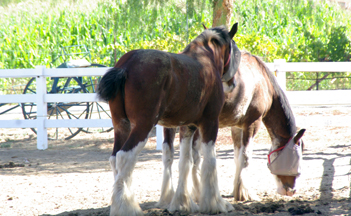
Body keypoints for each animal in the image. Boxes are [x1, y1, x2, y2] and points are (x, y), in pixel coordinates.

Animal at [97, 22, 243, 215]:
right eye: (234, 51)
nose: (233, 83)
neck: (205, 60)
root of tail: (127, 65)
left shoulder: (187, 127)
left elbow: (184, 162)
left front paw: (182, 203)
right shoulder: (210, 123)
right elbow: (210, 161)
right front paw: (215, 203)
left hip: (121, 126)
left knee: (115, 159)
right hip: (142, 126)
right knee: (124, 157)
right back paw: (126, 207)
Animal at [158, 51, 306, 206]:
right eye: (295, 158)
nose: (291, 190)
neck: (262, 81)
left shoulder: (236, 127)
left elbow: (237, 157)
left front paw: (237, 189)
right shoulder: (252, 124)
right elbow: (246, 157)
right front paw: (245, 193)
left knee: (168, 154)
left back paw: (168, 196)